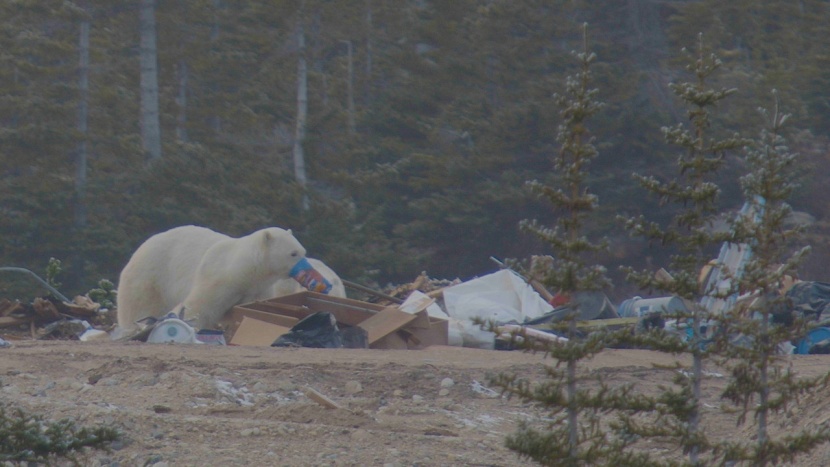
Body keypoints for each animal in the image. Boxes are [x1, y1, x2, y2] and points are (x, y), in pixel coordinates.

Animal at [114, 225, 316, 330]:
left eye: (304, 251)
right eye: (293, 253)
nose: (308, 269)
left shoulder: (257, 288)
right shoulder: (218, 278)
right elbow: (199, 307)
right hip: (150, 277)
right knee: (139, 306)